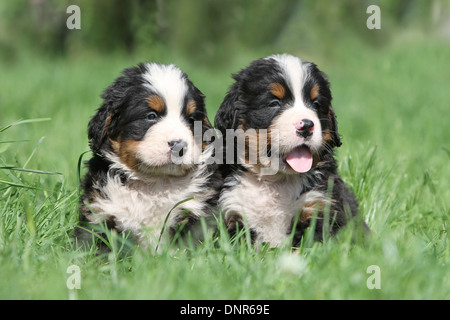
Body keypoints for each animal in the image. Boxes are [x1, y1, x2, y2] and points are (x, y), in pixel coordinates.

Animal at [78, 62, 221, 252]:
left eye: (191, 120)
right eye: (151, 116)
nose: (179, 146)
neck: (155, 184)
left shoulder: (196, 210)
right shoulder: (100, 212)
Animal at [214, 53, 362, 248]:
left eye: (316, 104)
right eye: (274, 103)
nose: (306, 125)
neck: (278, 181)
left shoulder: (320, 206)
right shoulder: (233, 210)